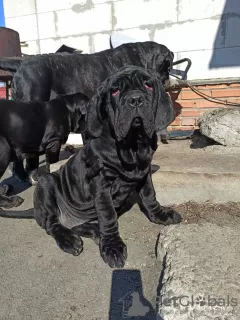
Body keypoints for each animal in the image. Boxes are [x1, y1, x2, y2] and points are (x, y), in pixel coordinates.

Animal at [0, 65, 181, 268]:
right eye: (115, 91)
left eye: (148, 86)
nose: (135, 99)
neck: (132, 145)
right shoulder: (101, 183)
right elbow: (108, 214)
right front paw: (112, 247)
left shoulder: (144, 172)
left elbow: (150, 196)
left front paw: (161, 215)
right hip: (46, 183)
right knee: (51, 223)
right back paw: (70, 240)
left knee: (81, 225)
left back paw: (96, 234)